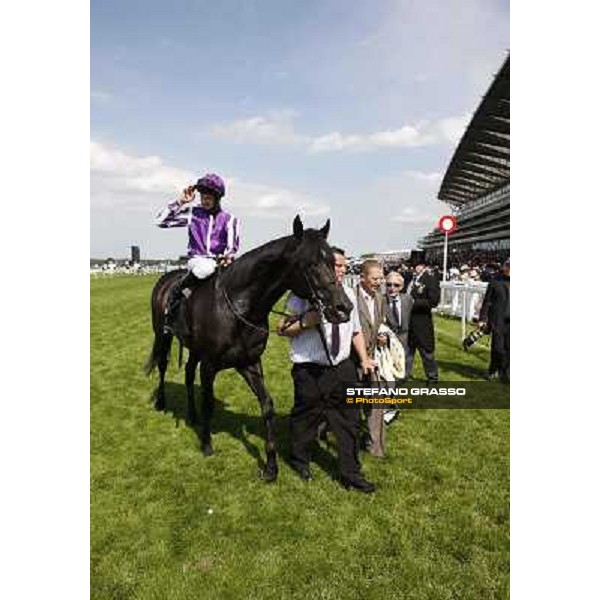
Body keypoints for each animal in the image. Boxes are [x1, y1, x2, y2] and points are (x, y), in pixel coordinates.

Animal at [145, 216, 352, 482]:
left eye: (333, 262)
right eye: (310, 263)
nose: (343, 308)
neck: (237, 308)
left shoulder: (249, 363)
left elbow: (267, 406)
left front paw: (271, 466)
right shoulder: (210, 365)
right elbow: (208, 402)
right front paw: (207, 444)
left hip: (194, 349)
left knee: (189, 373)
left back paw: (191, 415)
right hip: (162, 335)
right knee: (162, 365)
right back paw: (161, 402)